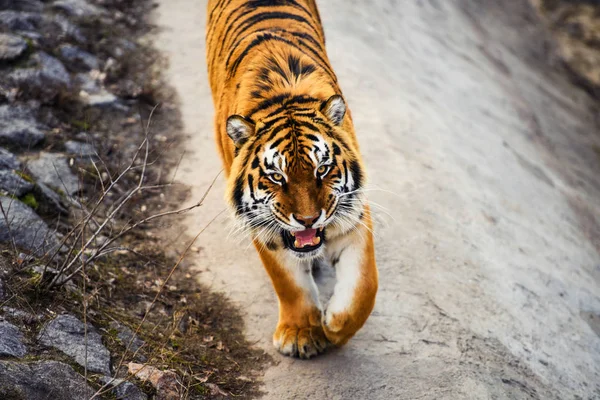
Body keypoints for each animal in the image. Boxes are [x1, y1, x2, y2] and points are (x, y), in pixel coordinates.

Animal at [205, 0, 376, 358]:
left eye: (322, 169)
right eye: (276, 176)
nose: (309, 219)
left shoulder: (353, 215)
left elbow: (364, 286)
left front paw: (336, 326)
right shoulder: (264, 226)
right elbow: (289, 283)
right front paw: (301, 335)